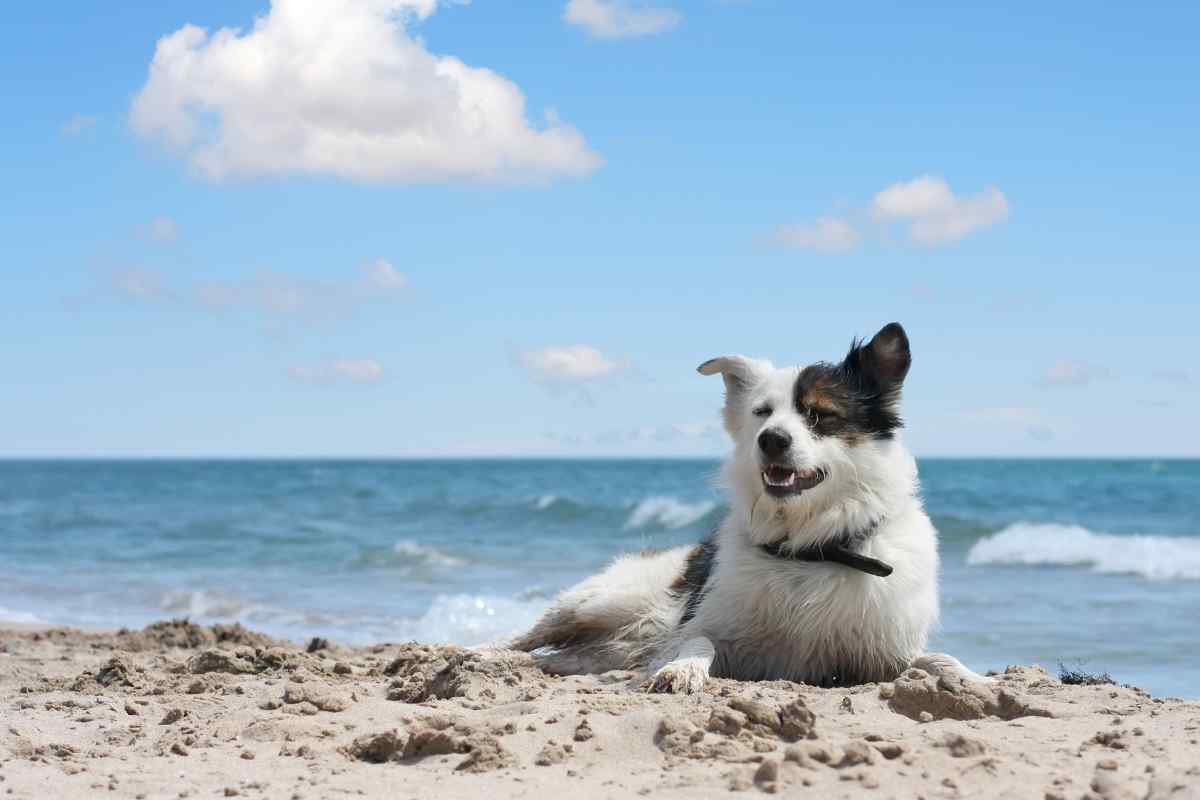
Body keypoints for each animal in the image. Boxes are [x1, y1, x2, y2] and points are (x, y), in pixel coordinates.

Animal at [511, 321, 979, 690]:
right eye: (762, 412)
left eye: (818, 414)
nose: (771, 439)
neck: (809, 546)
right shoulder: (709, 627)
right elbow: (696, 640)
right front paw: (681, 670)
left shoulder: (883, 651)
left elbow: (937, 658)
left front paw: (972, 678)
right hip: (600, 602)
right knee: (527, 636)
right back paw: (495, 654)